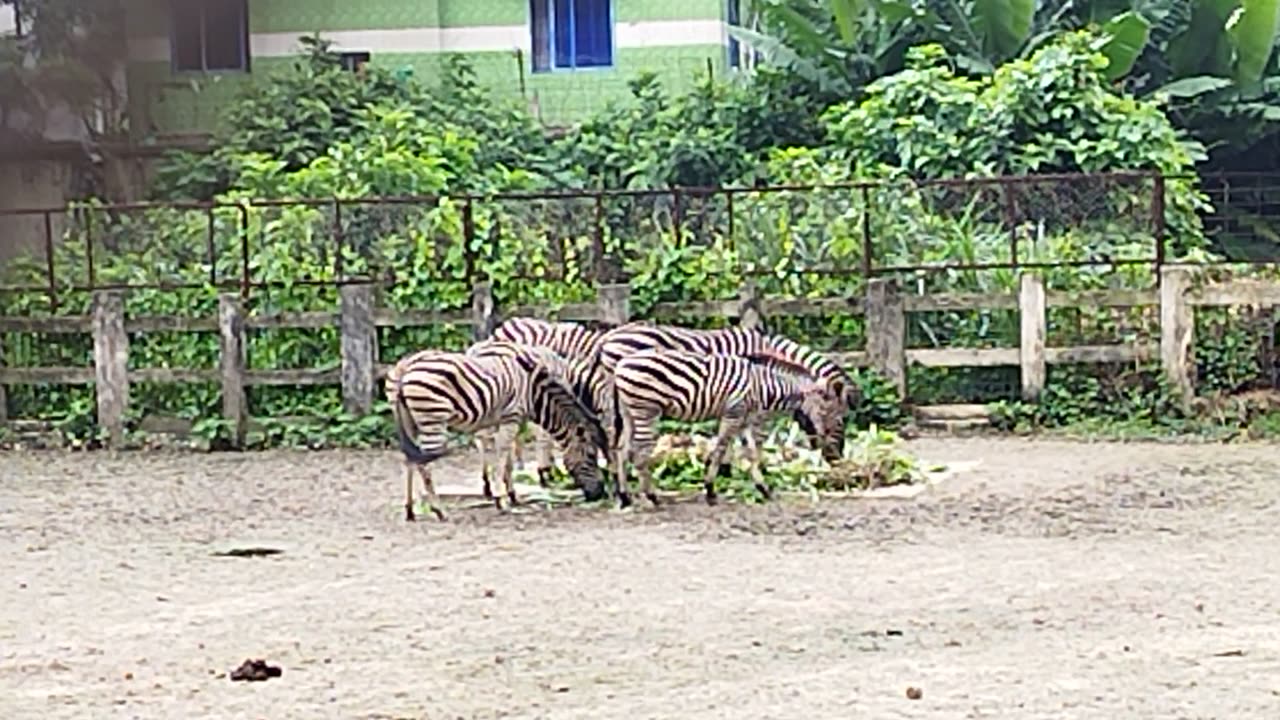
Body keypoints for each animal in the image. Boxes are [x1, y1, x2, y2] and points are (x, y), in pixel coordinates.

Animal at [384, 338, 609, 517]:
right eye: (591, 456)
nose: (600, 493)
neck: (533, 393)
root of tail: (405, 368)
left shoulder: (506, 421)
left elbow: (507, 460)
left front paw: (511, 495)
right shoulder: (512, 417)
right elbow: (502, 456)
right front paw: (502, 500)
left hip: (411, 422)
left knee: (410, 459)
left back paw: (410, 510)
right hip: (433, 419)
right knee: (425, 465)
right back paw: (439, 510)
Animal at [611, 345, 849, 504]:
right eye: (831, 412)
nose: (833, 454)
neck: (763, 386)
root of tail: (621, 365)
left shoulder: (744, 420)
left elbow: (752, 454)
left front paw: (764, 489)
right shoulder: (733, 414)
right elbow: (720, 450)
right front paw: (710, 490)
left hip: (629, 412)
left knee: (621, 450)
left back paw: (625, 496)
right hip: (646, 410)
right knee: (638, 453)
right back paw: (652, 496)